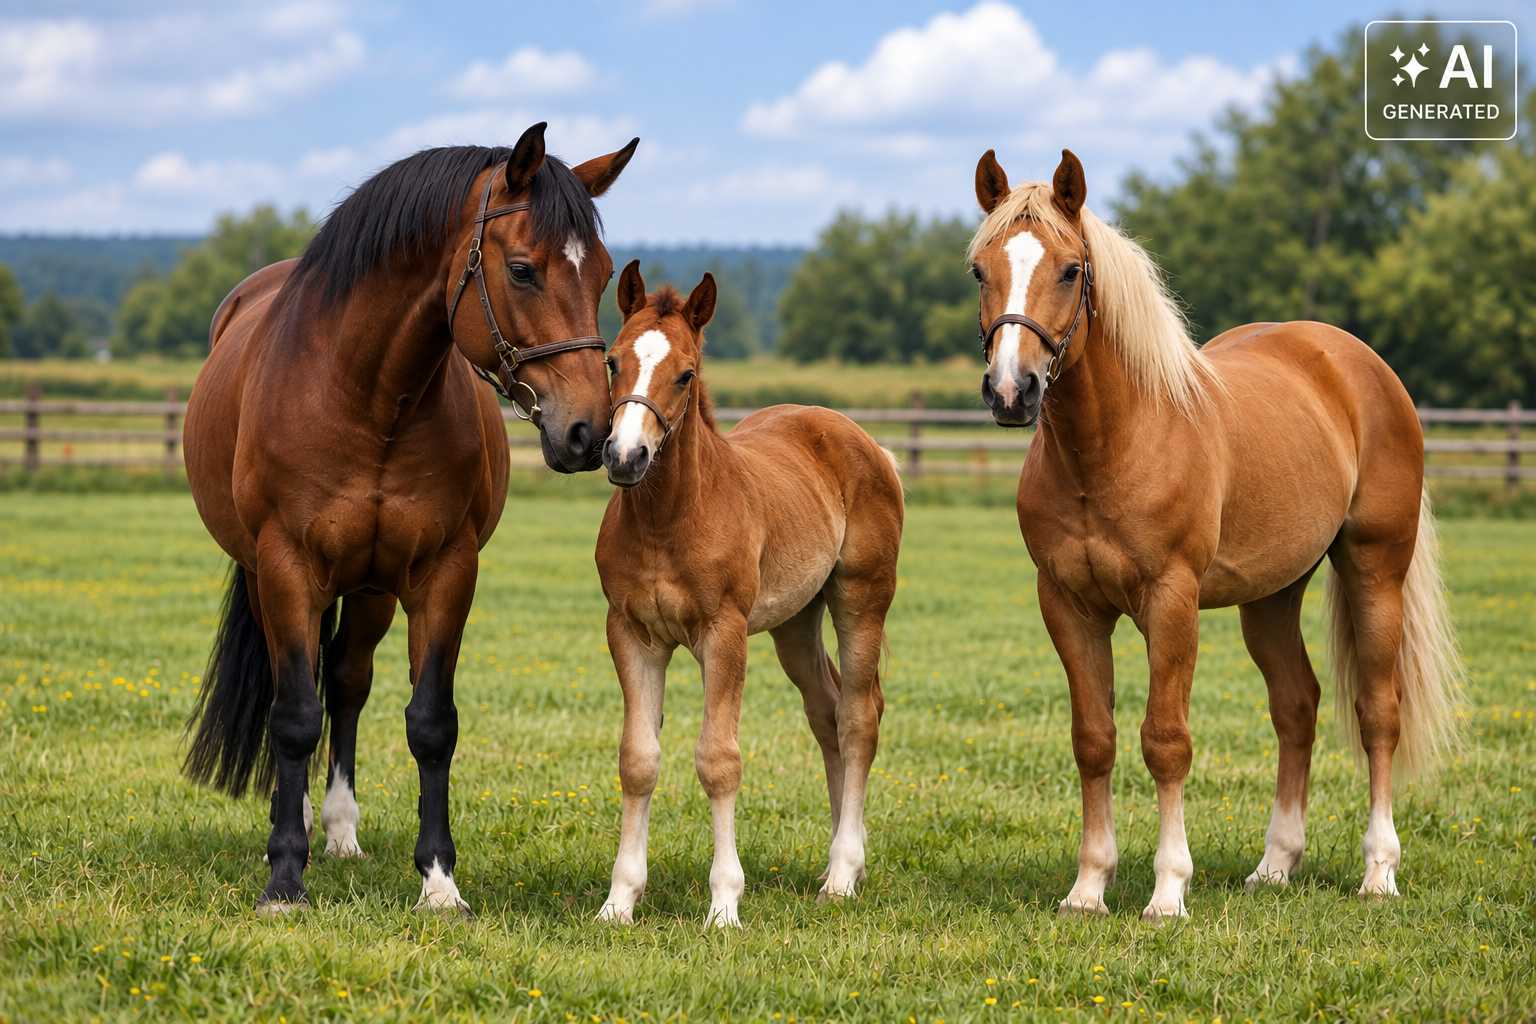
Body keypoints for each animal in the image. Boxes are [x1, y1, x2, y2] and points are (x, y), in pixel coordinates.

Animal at [181, 123, 638, 915]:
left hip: (368, 588)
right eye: (523, 270)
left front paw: (440, 882)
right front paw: (283, 879)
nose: (587, 433)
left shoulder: (443, 572)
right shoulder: (286, 566)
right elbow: (293, 718)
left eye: (604, 274)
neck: (367, 397)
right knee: (295, 690)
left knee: (346, 680)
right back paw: (296, 823)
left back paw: (338, 829)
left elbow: (430, 723)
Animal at [592, 263, 905, 926]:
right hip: (795, 621)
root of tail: (864, 441)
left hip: (861, 598)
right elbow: (638, 760)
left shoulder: (724, 633)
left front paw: (724, 904)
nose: (625, 456)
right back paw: (842, 864)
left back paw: (842, 876)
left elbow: (718, 760)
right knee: (827, 713)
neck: (669, 518)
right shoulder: (631, 633)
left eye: (685, 373)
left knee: (859, 718)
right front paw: (620, 900)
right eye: (612, 360)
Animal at [968, 148, 1462, 920]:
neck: (1113, 444)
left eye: (1072, 269)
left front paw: (1168, 891)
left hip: (1375, 568)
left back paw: (1379, 871)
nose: (1011, 392)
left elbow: (1165, 740)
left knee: (1378, 711)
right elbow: (1094, 740)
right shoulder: (1068, 606)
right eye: (979, 270)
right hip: (1273, 595)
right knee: (1296, 706)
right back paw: (1275, 865)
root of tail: (1357, 363)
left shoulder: (1171, 603)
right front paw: (1089, 887)